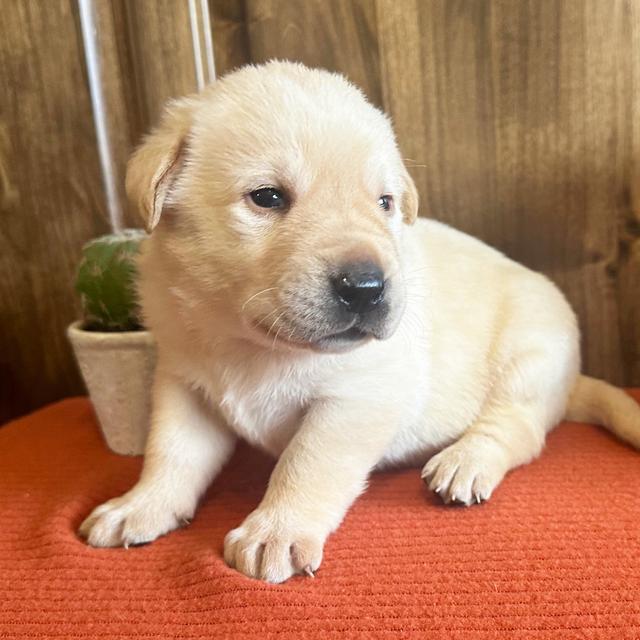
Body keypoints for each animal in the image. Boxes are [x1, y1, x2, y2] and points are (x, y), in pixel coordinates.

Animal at [79, 62, 640, 584]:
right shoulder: (183, 381)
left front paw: (276, 530)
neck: (253, 342)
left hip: (533, 349)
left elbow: (306, 462)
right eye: (268, 196)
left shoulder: (357, 397)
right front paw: (141, 504)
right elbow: (171, 452)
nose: (367, 288)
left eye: (384, 202)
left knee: (517, 427)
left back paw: (465, 461)